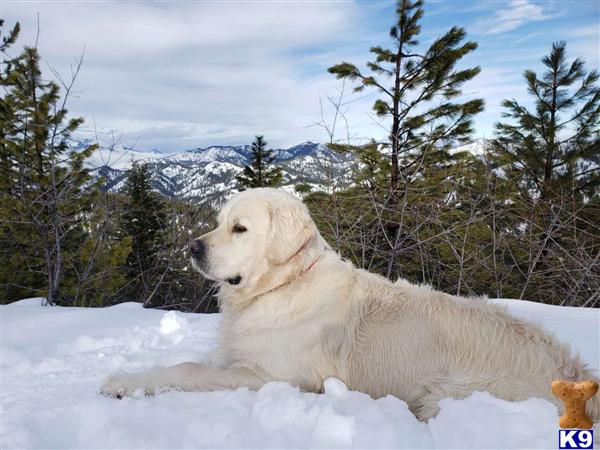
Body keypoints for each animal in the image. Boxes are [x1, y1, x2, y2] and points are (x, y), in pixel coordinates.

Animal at [101, 186, 596, 422]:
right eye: (219, 222)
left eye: (240, 229)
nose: (192, 248)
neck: (284, 284)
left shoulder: (273, 377)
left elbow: (187, 369)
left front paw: (121, 382)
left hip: (447, 393)